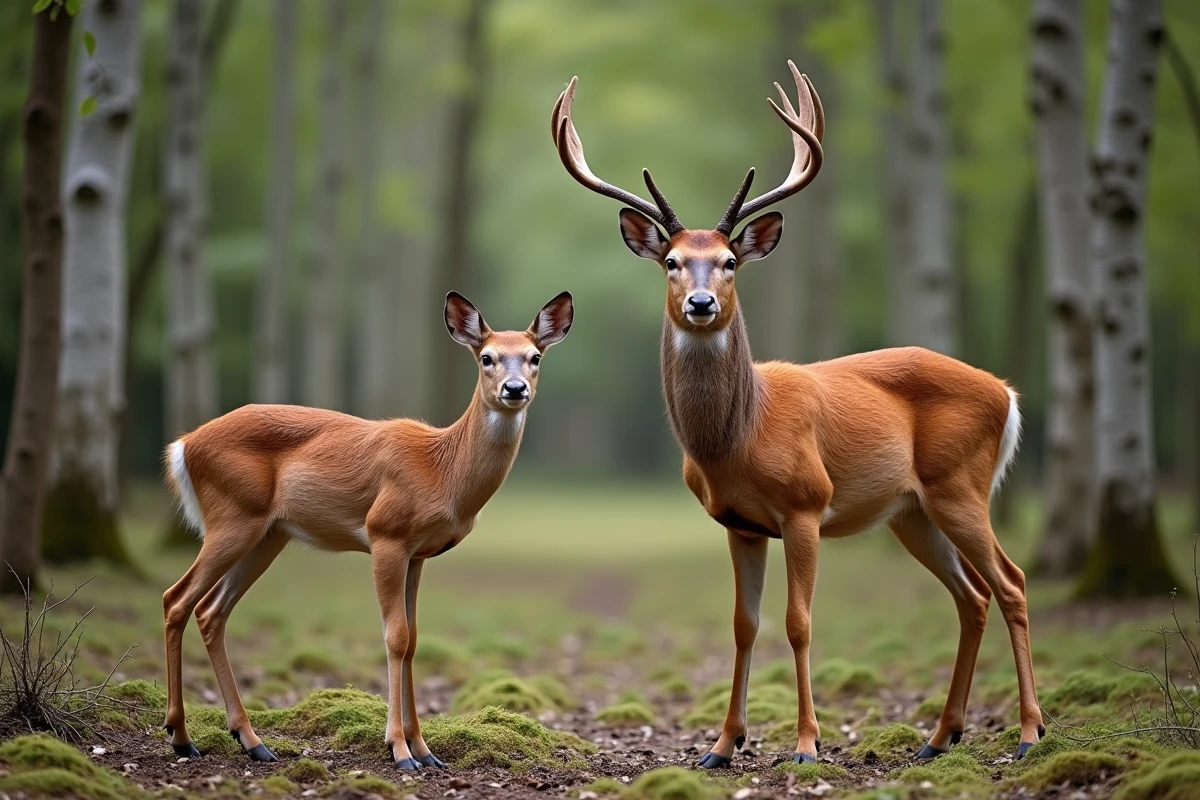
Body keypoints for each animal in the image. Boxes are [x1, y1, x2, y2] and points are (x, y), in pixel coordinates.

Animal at [159, 291, 573, 770]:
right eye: (487, 357)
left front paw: (426, 750)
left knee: (211, 611)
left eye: (534, 357)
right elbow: (395, 636)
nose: (515, 389)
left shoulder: (419, 554)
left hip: (267, 534)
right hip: (232, 518)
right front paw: (399, 750)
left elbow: (414, 640)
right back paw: (181, 736)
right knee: (176, 599)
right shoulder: (386, 534)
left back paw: (252, 741)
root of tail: (183, 446)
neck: (441, 471)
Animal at [550, 63, 1043, 767]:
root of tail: (1006, 393)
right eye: (672, 262)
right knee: (972, 596)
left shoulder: (806, 505)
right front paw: (722, 744)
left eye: (729, 262)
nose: (700, 303)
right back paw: (939, 737)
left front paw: (808, 743)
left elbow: (798, 622)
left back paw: (1029, 732)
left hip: (961, 485)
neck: (736, 438)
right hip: (913, 512)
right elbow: (743, 625)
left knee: (1012, 581)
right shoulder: (739, 523)